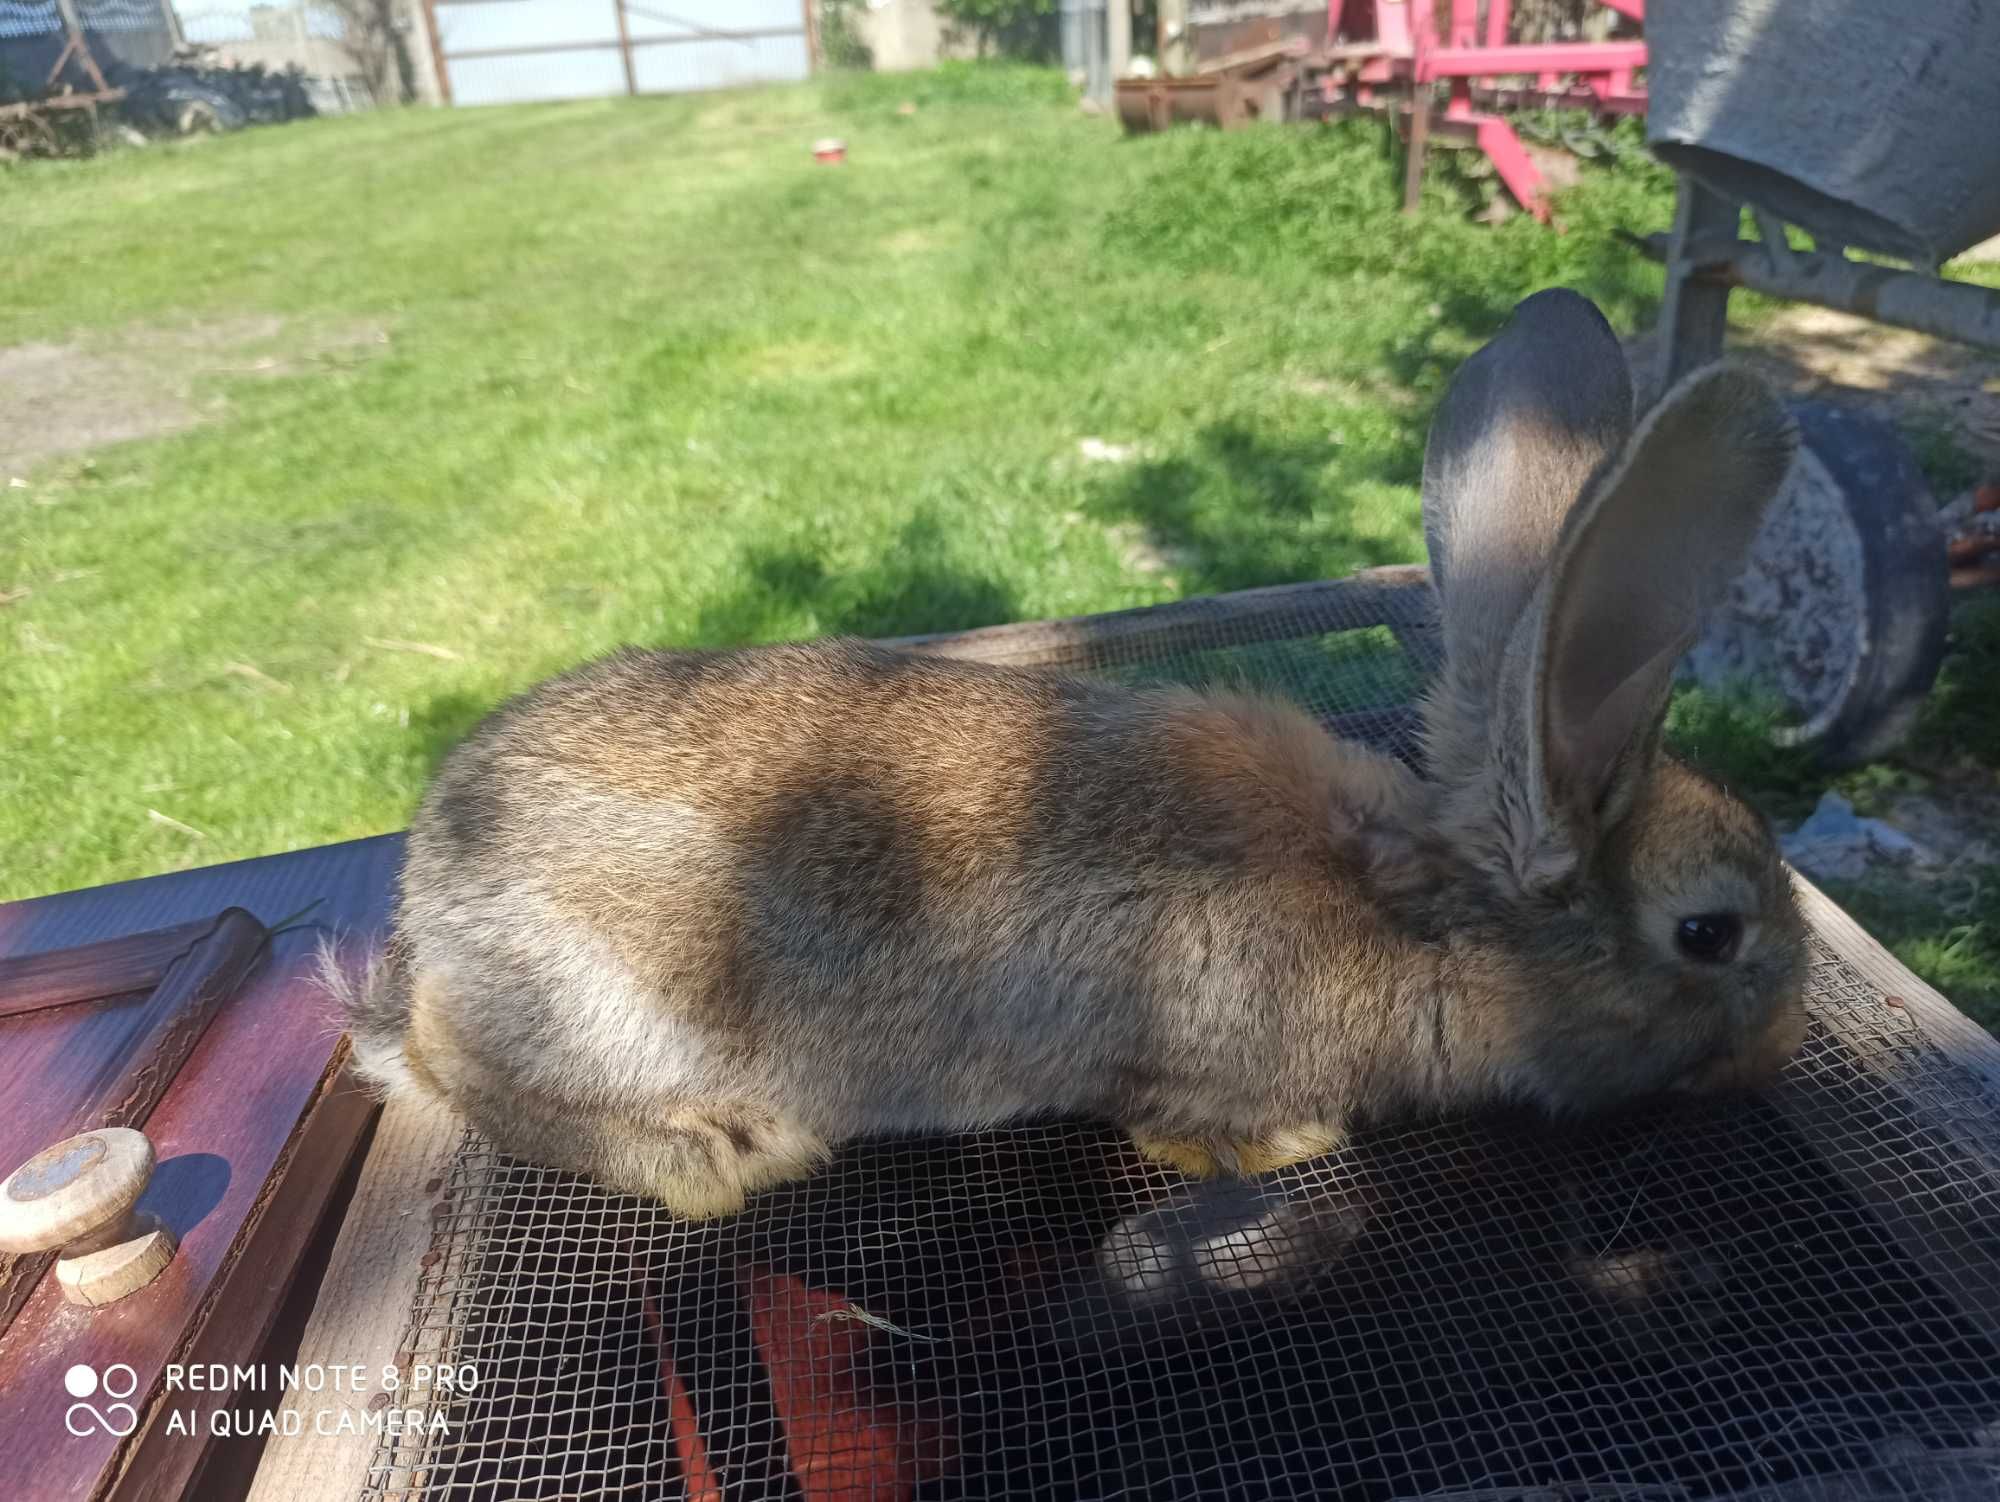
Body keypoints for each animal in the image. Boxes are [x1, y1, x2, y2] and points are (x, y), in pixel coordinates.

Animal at [340, 284, 1816, 1224]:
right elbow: (1178, 1117)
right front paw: (1283, 1143)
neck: (1418, 905)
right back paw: (715, 1154)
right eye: (1709, 931)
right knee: (472, 1079)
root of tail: (429, 887)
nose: (1783, 1041)